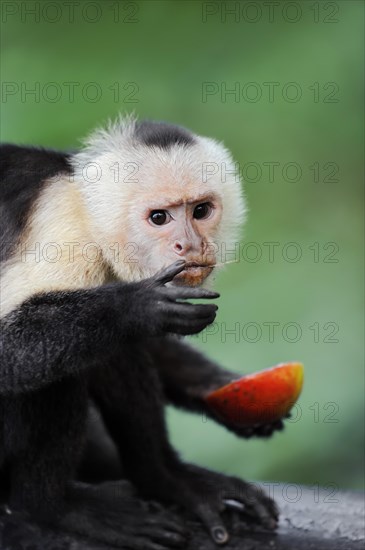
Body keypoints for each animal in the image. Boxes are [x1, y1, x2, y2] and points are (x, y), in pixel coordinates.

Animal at [0, 117, 282, 550]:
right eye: (159, 218)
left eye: (201, 211)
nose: (191, 245)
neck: (86, 210)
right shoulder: (61, 229)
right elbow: (10, 351)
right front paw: (137, 307)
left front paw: (217, 385)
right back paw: (53, 506)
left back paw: (167, 479)